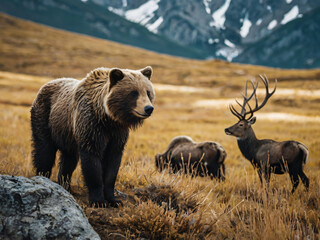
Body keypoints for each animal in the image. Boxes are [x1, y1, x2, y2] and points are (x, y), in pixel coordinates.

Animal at [30, 65, 155, 206]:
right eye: (134, 92)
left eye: (148, 92)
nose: (148, 108)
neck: (107, 118)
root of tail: (46, 84)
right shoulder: (91, 126)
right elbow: (92, 163)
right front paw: (98, 200)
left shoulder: (117, 134)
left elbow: (113, 164)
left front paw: (113, 200)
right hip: (45, 117)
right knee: (44, 151)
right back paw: (43, 177)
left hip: (68, 135)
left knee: (69, 159)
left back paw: (66, 186)